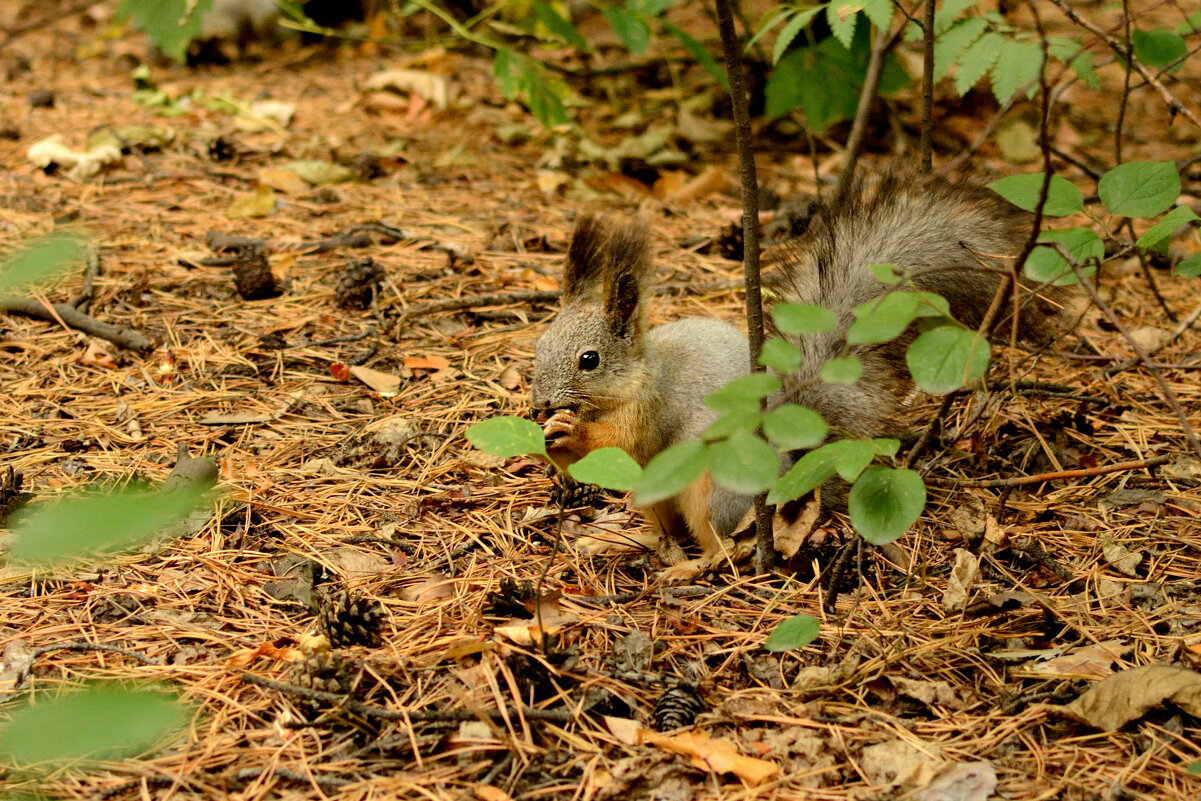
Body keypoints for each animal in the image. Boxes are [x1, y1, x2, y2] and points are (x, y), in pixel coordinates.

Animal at [530, 170, 1066, 569]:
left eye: (589, 360)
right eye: (539, 345)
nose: (537, 404)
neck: (638, 376)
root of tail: (793, 478)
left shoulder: (653, 408)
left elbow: (620, 444)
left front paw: (570, 429)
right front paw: (550, 437)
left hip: (715, 489)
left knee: (723, 546)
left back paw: (691, 566)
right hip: (655, 497)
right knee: (668, 532)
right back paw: (626, 544)